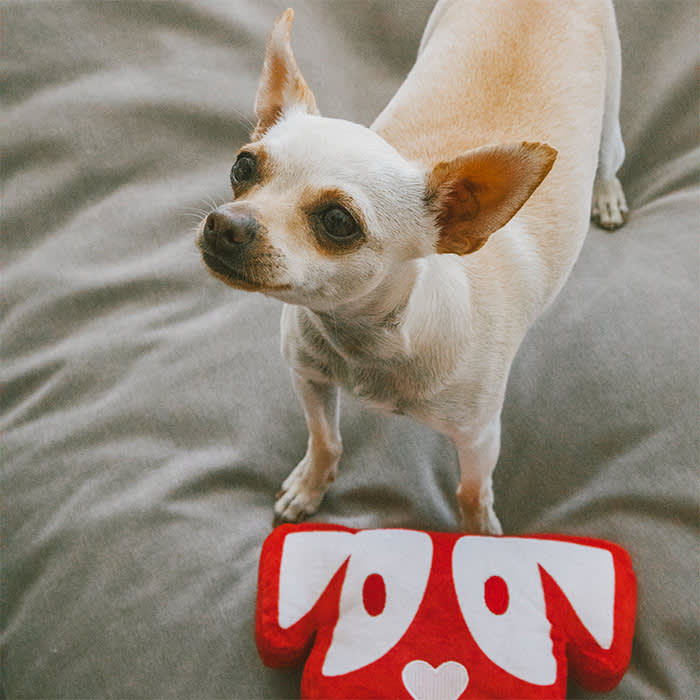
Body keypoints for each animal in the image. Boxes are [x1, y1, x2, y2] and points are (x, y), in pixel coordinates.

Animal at [197, 1, 628, 536]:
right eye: (242, 168)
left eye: (338, 221)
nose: (224, 224)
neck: (368, 341)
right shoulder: (309, 379)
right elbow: (325, 439)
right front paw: (310, 486)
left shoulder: (479, 439)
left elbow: (470, 491)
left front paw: (479, 534)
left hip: (610, 113)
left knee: (609, 159)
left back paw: (606, 195)